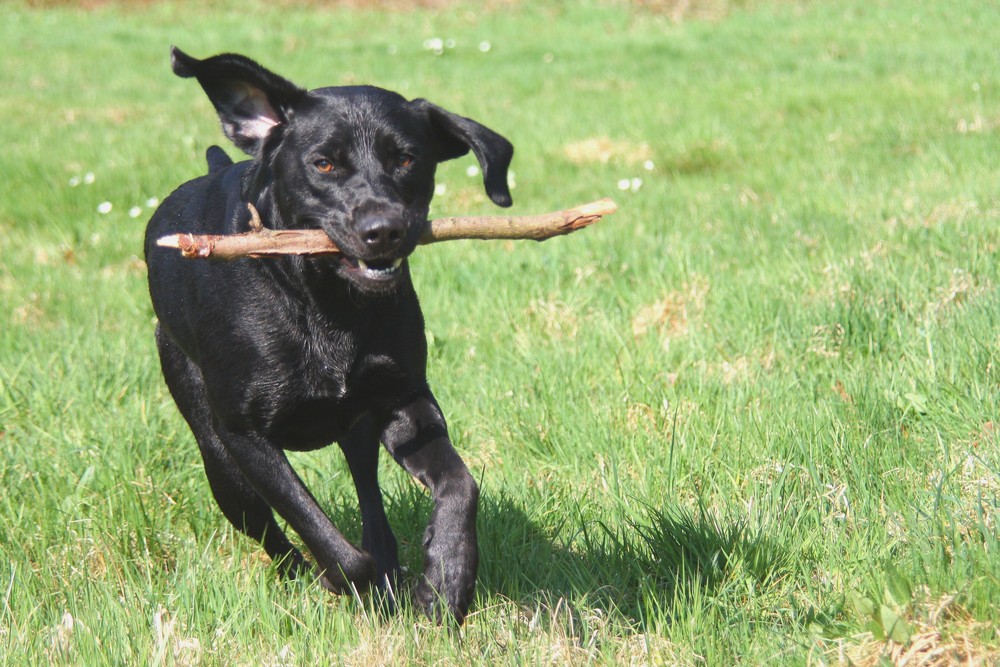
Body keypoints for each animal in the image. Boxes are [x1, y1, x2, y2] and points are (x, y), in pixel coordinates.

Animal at [143, 48, 516, 628]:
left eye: (407, 158)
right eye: (323, 163)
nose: (384, 229)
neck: (323, 303)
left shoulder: (405, 401)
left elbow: (460, 485)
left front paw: (446, 578)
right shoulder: (245, 435)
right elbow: (325, 537)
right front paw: (351, 583)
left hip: (357, 431)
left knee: (370, 500)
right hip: (218, 460)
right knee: (270, 531)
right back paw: (307, 574)